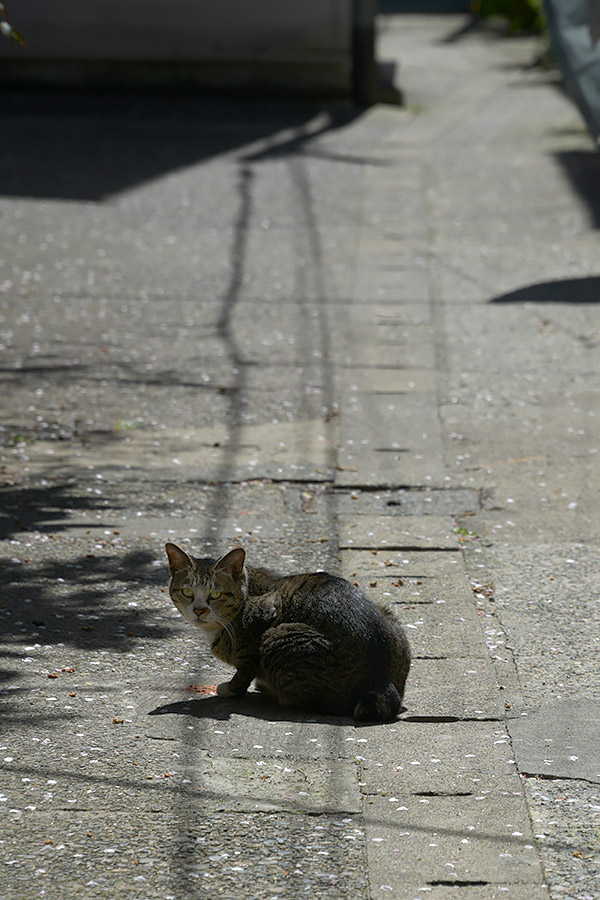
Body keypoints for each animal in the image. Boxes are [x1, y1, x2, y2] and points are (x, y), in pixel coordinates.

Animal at [166, 540, 410, 724]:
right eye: (187, 592)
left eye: (215, 595)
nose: (199, 610)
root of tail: (381, 678)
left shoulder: (266, 613)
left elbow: (245, 668)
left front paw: (232, 688)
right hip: (389, 616)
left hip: (280, 637)